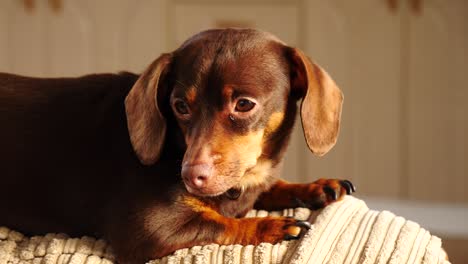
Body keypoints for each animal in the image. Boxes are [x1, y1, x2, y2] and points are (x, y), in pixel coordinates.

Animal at [0, 28, 352, 264]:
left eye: (244, 104)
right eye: (180, 106)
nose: (190, 176)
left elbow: (269, 188)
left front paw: (315, 187)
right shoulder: (146, 229)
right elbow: (219, 222)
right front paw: (271, 225)